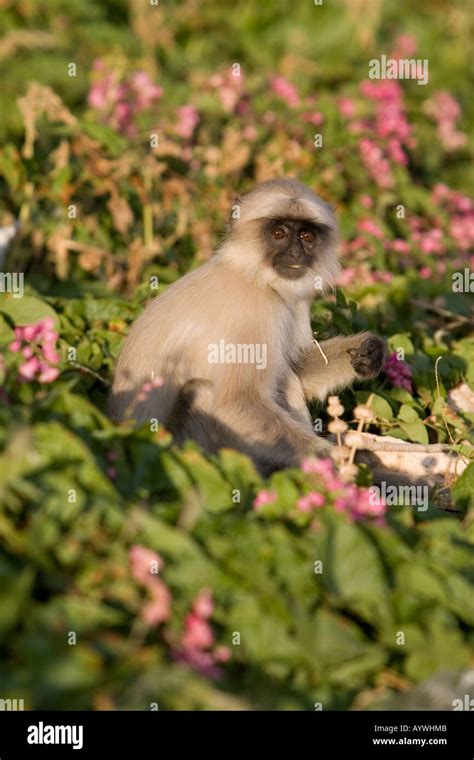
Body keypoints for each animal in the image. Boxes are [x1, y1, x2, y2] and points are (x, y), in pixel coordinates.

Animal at [109, 180, 386, 476]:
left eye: (307, 236)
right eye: (278, 233)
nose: (296, 254)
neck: (254, 276)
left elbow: (297, 366)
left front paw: (368, 351)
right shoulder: (254, 311)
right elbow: (236, 402)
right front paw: (338, 463)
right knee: (204, 393)